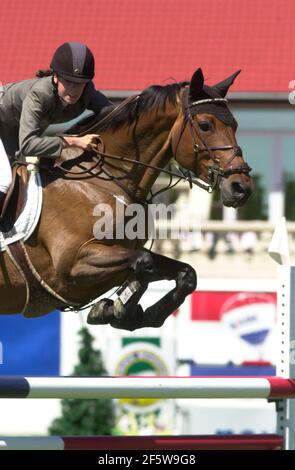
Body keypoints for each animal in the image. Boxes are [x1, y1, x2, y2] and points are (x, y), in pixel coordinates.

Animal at [0, 68, 254, 330]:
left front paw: (133, 314)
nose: (241, 187)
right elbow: (145, 263)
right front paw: (116, 310)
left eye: (235, 125)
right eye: (205, 125)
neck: (103, 178)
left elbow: (185, 273)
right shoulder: (71, 265)